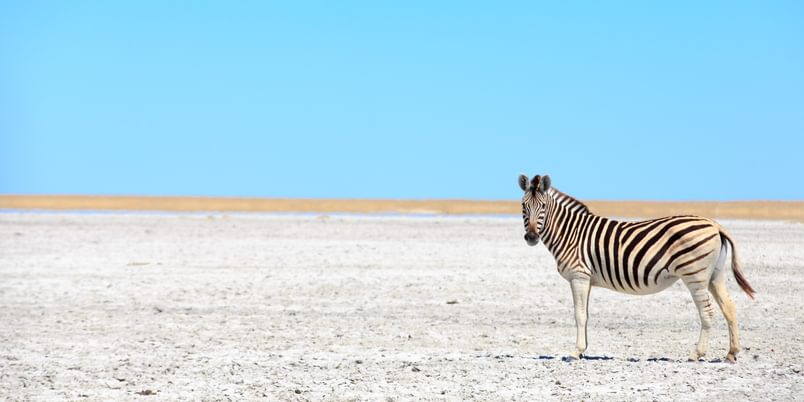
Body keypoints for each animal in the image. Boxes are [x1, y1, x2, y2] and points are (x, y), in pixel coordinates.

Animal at [518, 173, 755, 362]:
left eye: (543, 207)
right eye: (523, 206)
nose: (531, 237)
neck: (569, 232)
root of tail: (715, 224)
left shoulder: (579, 276)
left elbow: (579, 315)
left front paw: (575, 352)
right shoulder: (587, 279)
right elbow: (587, 314)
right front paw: (584, 349)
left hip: (694, 275)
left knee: (707, 311)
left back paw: (697, 354)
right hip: (715, 275)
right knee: (729, 307)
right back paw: (731, 353)